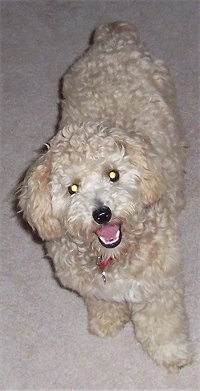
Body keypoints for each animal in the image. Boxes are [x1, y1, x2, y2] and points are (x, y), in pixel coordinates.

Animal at [18, 22, 193, 374]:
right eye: (72, 189)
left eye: (113, 174)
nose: (102, 213)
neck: (115, 254)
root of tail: (115, 35)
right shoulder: (93, 287)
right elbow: (102, 303)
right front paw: (107, 323)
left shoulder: (160, 284)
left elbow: (164, 324)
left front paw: (172, 354)